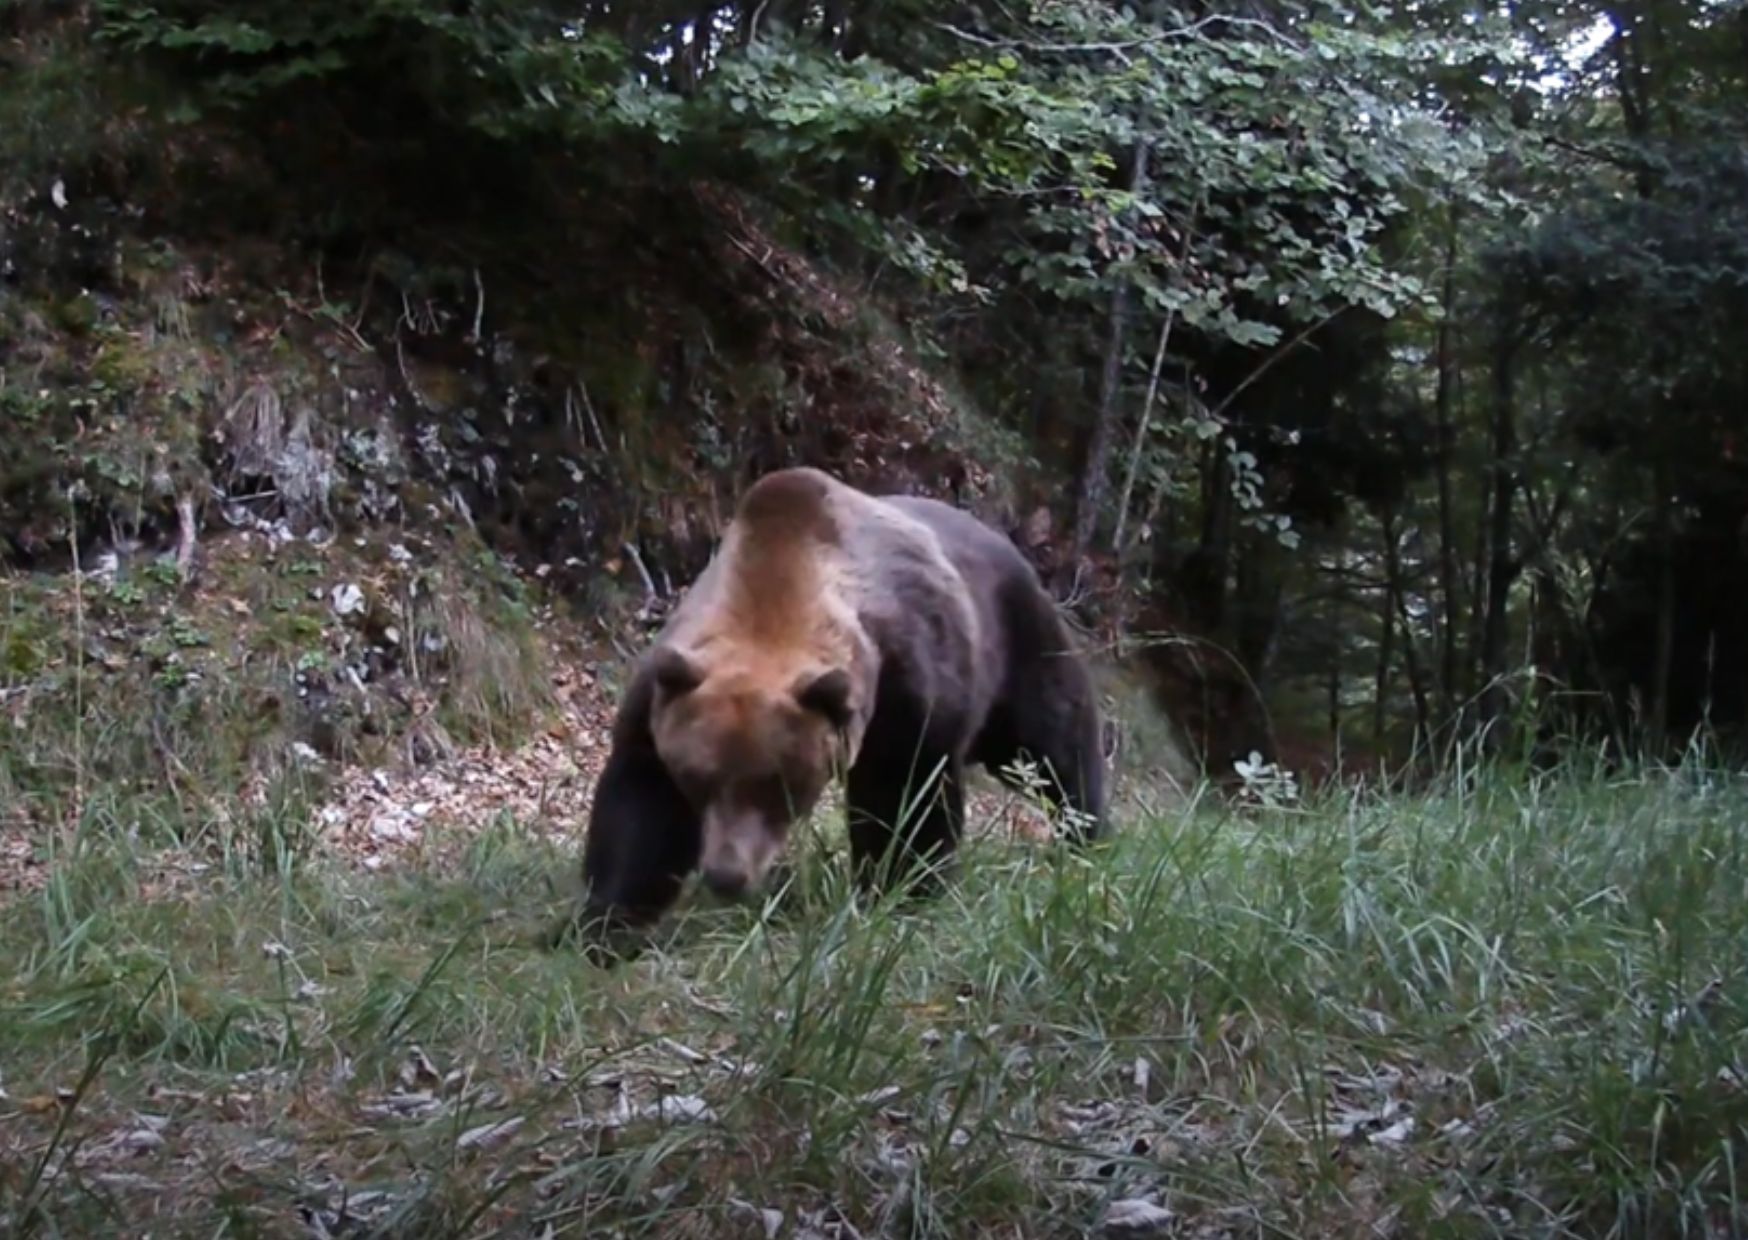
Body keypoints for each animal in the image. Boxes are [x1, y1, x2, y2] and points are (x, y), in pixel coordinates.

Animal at [561, 466, 1107, 956]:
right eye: (697, 778)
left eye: (778, 786)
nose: (726, 875)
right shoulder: (663, 695)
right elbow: (642, 809)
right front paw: (603, 926)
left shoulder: (906, 684)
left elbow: (905, 793)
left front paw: (902, 887)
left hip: (1018, 642)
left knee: (1055, 742)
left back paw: (1087, 833)